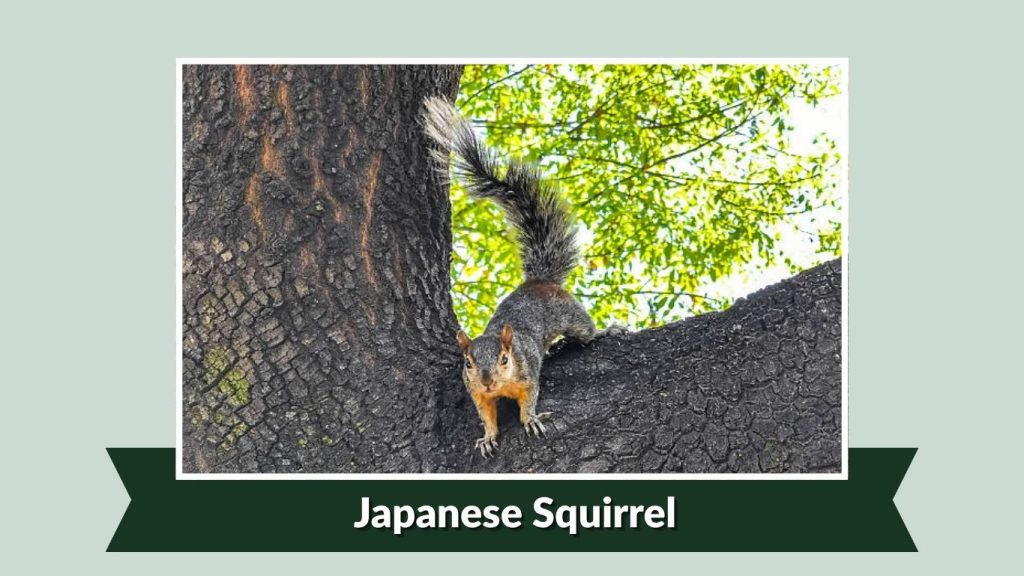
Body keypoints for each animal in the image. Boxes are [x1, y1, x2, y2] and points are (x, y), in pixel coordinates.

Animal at [422, 97, 625, 457]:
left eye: (504, 359)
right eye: (468, 364)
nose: (487, 380)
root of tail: (537, 282)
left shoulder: (527, 374)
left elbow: (529, 399)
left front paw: (530, 419)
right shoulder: (477, 394)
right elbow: (486, 415)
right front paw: (488, 437)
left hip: (569, 314)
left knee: (586, 331)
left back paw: (605, 332)